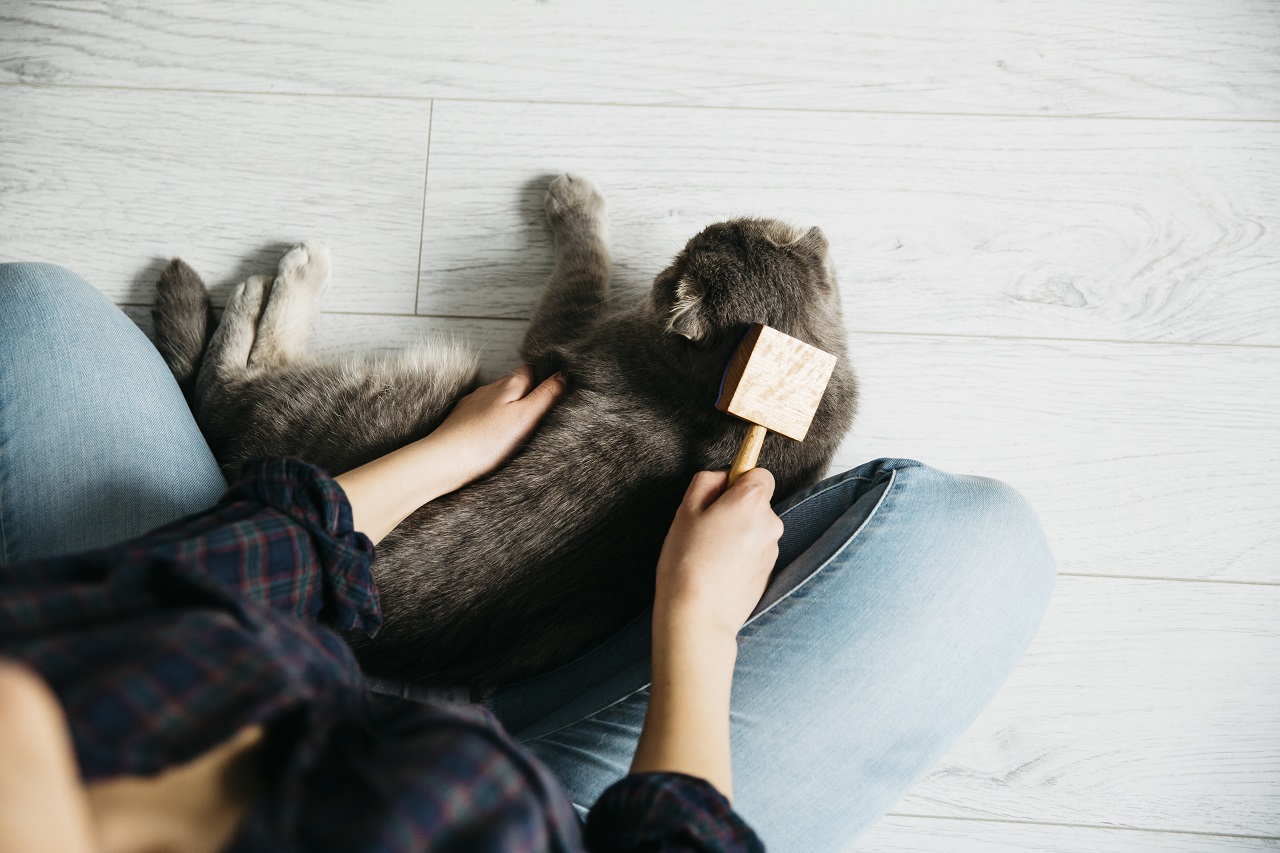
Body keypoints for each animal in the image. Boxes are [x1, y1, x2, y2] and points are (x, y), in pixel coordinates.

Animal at [154, 175, 860, 686]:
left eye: (684, 258)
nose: (673, 256)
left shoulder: (559, 335)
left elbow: (585, 260)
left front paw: (574, 200)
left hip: (401, 381)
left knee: (228, 384)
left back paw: (275, 278)